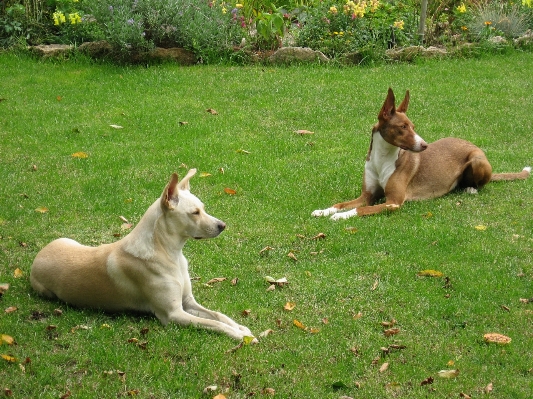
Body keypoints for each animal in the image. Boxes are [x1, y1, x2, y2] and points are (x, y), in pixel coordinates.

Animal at [31, 170, 256, 342]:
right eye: (194, 212)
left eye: (203, 208)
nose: (223, 226)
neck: (169, 252)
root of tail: (38, 256)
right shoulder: (173, 314)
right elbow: (213, 323)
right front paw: (240, 336)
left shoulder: (188, 302)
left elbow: (218, 315)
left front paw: (240, 328)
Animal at [312, 88, 528, 222]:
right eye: (403, 127)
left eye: (413, 127)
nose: (425, 145)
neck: (382, 159)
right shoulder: (367, 195)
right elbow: (342, 203)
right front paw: (324, 210)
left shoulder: (393, 202)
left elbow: (360, 209)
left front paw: (340, 217)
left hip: (477, 160)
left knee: (480, 183)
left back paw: (470, 189)